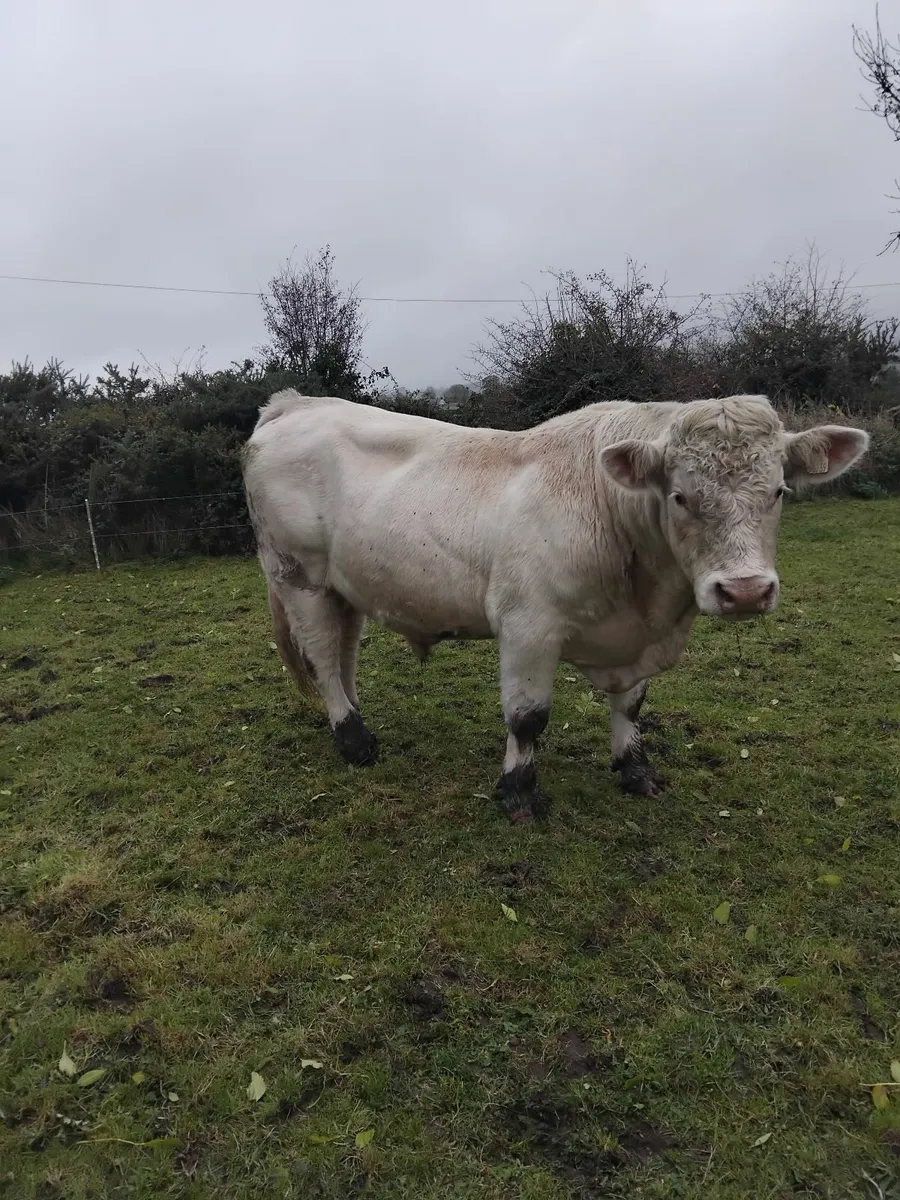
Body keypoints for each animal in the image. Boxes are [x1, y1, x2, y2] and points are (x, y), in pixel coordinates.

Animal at [242, 390, 868, 822]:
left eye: (779, 491)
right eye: (680, 496)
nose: (744, 591)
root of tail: (295, 403)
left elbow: (631, 706)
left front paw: (634, 768)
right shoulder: (528, 626)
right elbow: (528, 717)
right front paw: (518, 794)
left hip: (344, 587)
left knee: (345, 654)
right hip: (299, 577)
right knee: (324, 657)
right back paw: (353, 740)